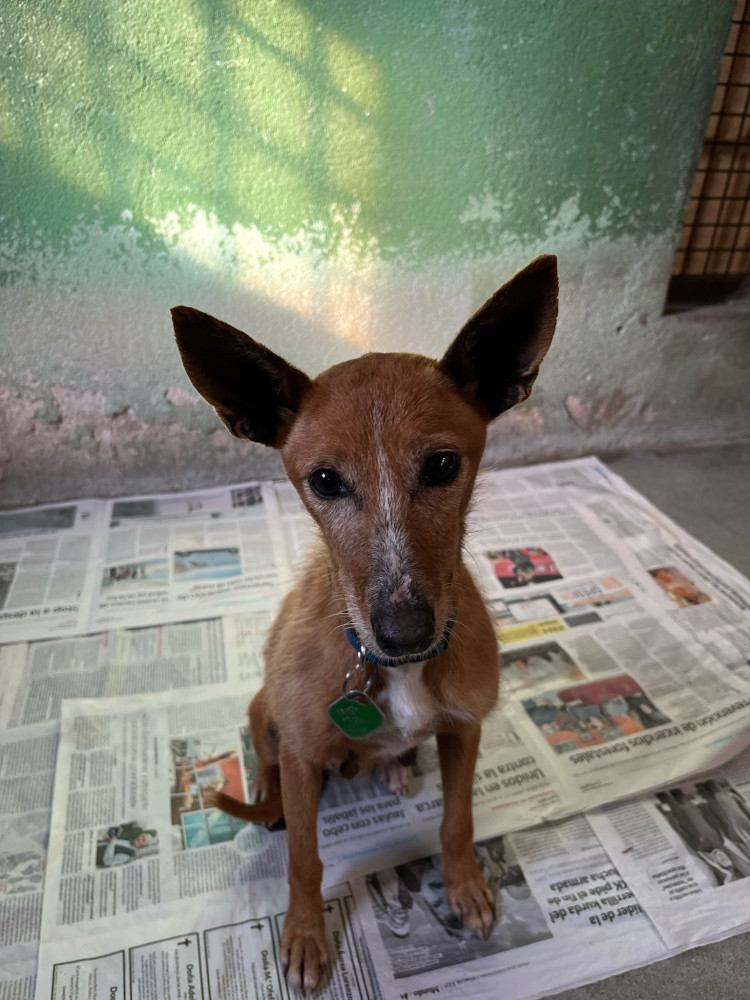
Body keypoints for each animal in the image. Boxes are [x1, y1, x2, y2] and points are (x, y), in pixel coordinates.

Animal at [171, 254, 558, 995]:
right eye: (325, 481)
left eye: (442, 465)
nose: (405, 634)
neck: (393, 673)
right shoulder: (301, 752)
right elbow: (304, 860)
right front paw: (304, 934)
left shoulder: (466, 731)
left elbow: (457, 822)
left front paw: (464, 887)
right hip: (263, 711)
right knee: (271, 770)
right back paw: (273, 798)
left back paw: (399, 767)